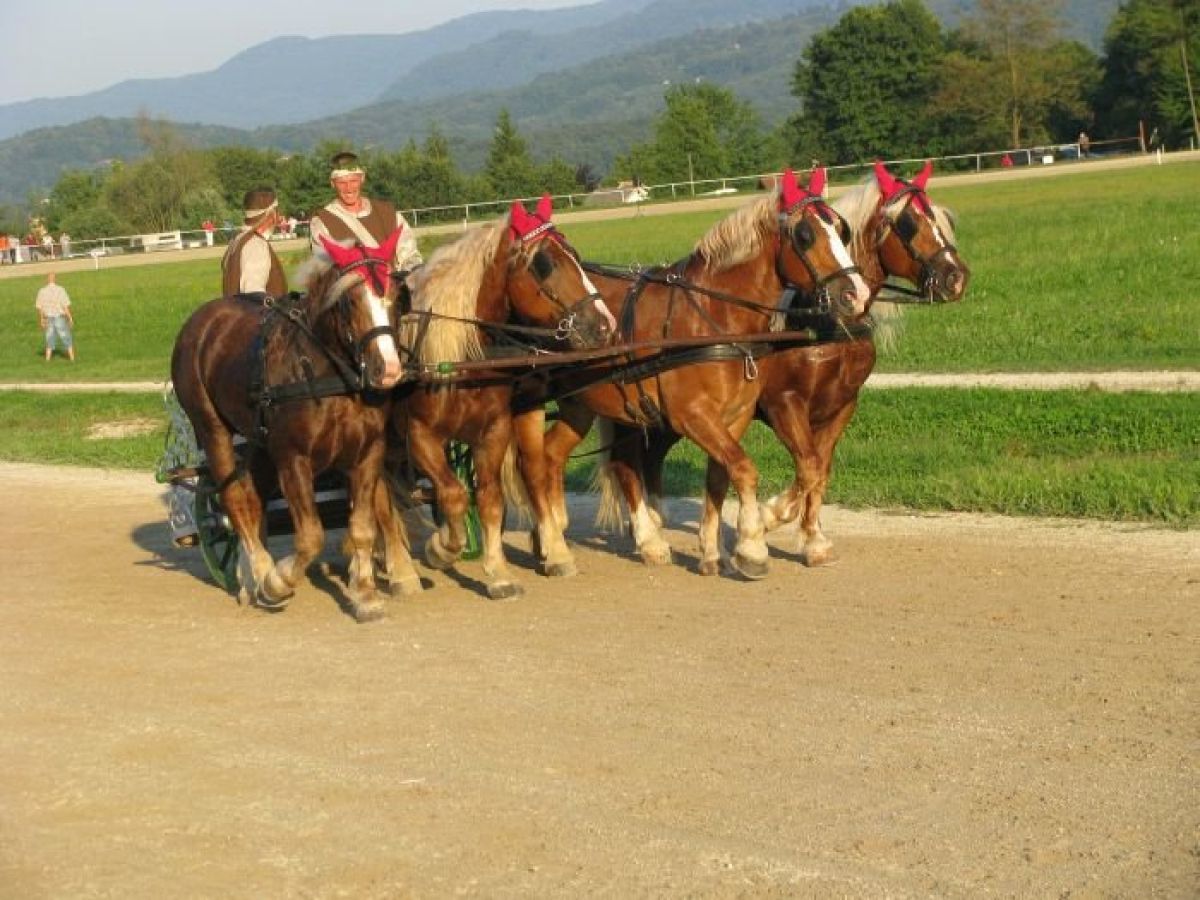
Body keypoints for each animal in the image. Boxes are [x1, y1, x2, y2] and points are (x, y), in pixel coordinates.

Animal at [170, 230, 405, 622]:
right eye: (350, 301)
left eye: (396, 296)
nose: (387, 369)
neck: (327, 376)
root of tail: (202, 320)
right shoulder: (293, 458)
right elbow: (310, 537)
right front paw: (277, 581)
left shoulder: (367, 452)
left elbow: (362, 526)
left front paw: (365, 594)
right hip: (212, 429)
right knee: (234, 500)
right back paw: (260, 572)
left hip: (260, 444)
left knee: (254, 499)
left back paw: (249, 576)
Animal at [380, 196, 615, 600]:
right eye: (545, 264)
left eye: (575, 254)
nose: (604, 325)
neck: (458, 357)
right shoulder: (421, 437)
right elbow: (454, 495)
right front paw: (443, 547)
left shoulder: (495, 430)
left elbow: (490, 497)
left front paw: (501, 572)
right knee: (379, 503)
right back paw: (400, 572)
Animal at [528, 168, 871, 579]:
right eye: (805, 235)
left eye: (841, 229)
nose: (857, 293)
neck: (713, 318)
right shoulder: (698, 414)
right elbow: (748, 468)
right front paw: (754, 545)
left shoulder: (734, 417)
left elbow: (722, 476)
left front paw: (714, 551)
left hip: (587, 404)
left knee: (563, 457)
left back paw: (559, 535)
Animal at [606, 160, 970, 568]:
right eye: (908, 223)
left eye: (942, 218)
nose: (956, 277)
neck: (819, 320)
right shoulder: (784, 403)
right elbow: (807, 466)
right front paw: (768, 519)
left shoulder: (840, 406)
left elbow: (819, 470)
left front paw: (812, 538)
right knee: (625, 461)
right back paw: (649, 535)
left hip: (663, 415)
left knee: (649, 457)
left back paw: (656, 520)